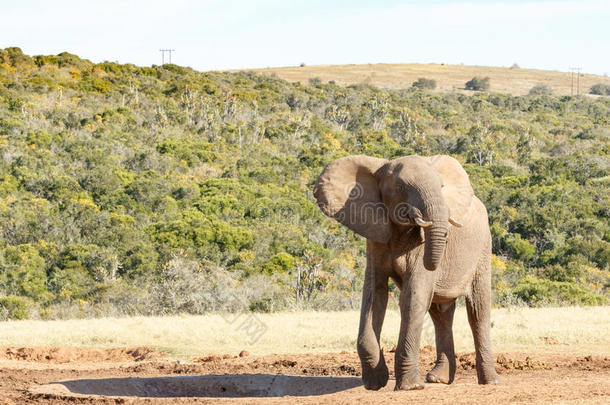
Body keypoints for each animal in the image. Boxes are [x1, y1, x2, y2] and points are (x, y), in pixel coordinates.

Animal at [314, 153, 498, 390]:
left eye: (441, 186)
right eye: (400, 188)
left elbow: (413, 297)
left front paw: (410, 387)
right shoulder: (376, 237)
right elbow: (375, 295)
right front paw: (375, 382)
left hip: (483, 249)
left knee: (477, 312)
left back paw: (490, 381)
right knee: (440, 313)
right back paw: (437, 379)